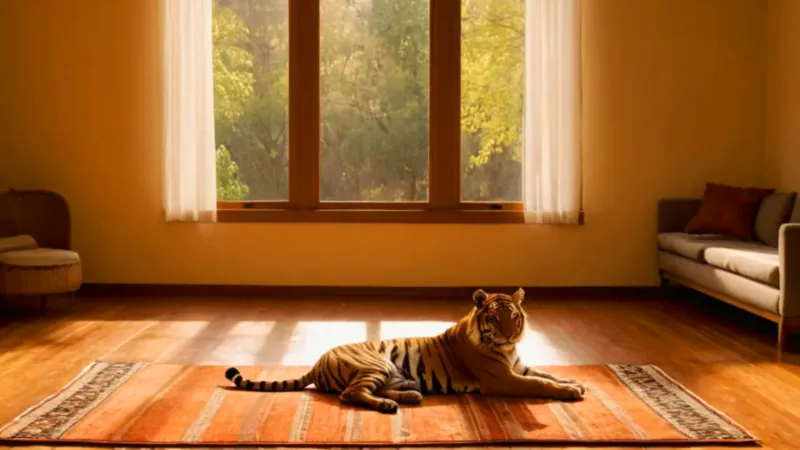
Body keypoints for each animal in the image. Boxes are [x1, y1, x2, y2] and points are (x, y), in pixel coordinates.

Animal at [225, 288, 585, 414]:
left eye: (515, 317)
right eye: (495, 317)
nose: (510, 335)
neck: (507, 351)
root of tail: (317, 361)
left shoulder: (520, 367)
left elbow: (549, 374)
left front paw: (576, 384)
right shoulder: (502, 380)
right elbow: (540, 384)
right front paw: (570, 392)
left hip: (391, 373)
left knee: (369, 391)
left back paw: (410, 396)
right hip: (377, 365)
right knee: (350, 395)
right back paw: (388, 406)